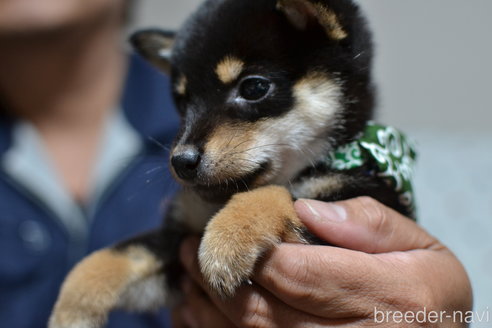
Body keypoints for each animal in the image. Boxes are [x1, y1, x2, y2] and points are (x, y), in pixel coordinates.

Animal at [49, 0, 416, 326]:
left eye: (253, 87)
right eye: (181, 101)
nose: (181, 161)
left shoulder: (360, 206)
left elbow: (278, 195)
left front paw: (227, 239)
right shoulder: (178, 245)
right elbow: (118, 255)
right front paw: (69, 309)